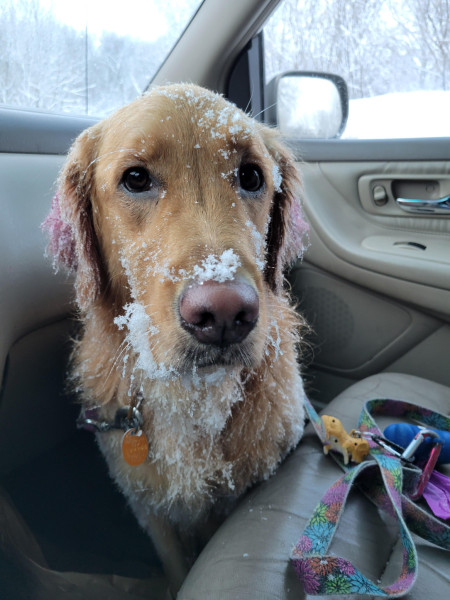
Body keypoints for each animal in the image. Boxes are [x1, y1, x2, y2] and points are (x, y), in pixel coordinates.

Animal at [43, 83, 310, 592]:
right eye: (136, 178)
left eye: (251, 176)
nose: (224, 313)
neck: (195, 397)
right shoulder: (150, 508)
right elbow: (175, 563)